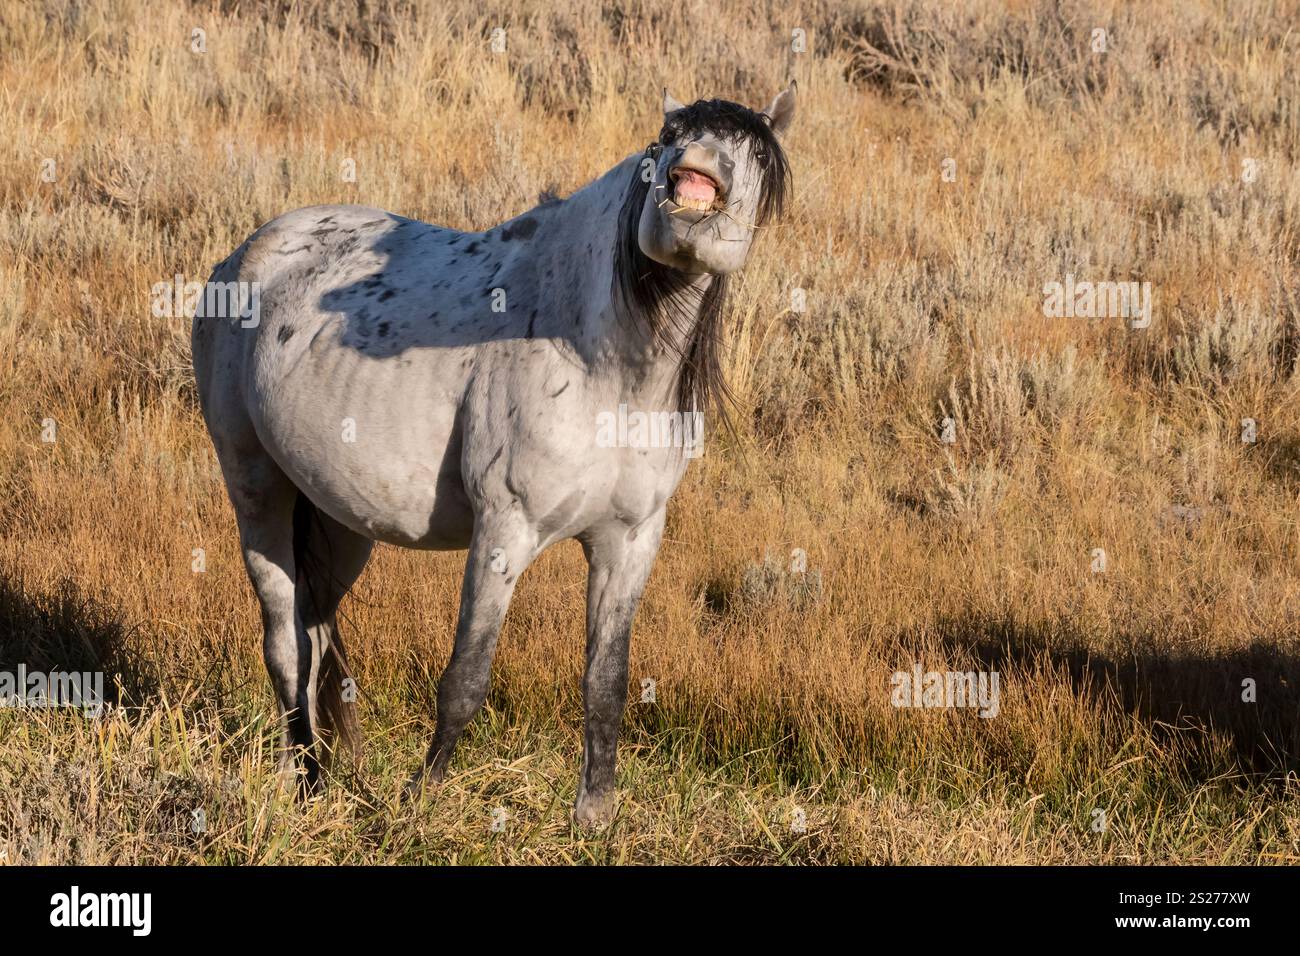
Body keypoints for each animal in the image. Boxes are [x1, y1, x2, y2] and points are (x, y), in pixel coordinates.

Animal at [191, 84, 795, 826]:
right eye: (668, 138)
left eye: (755, 156)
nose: (698, 166)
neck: (604, 366)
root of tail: (245, 255)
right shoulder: (506, 528)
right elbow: (466, 678)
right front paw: (420, 801)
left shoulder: (629, 541)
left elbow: (607, 681)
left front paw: (594, 817)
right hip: (257, 485)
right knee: (282, 640)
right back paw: (299, 782)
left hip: (340, 517)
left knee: (314, 634)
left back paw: (318, 774)